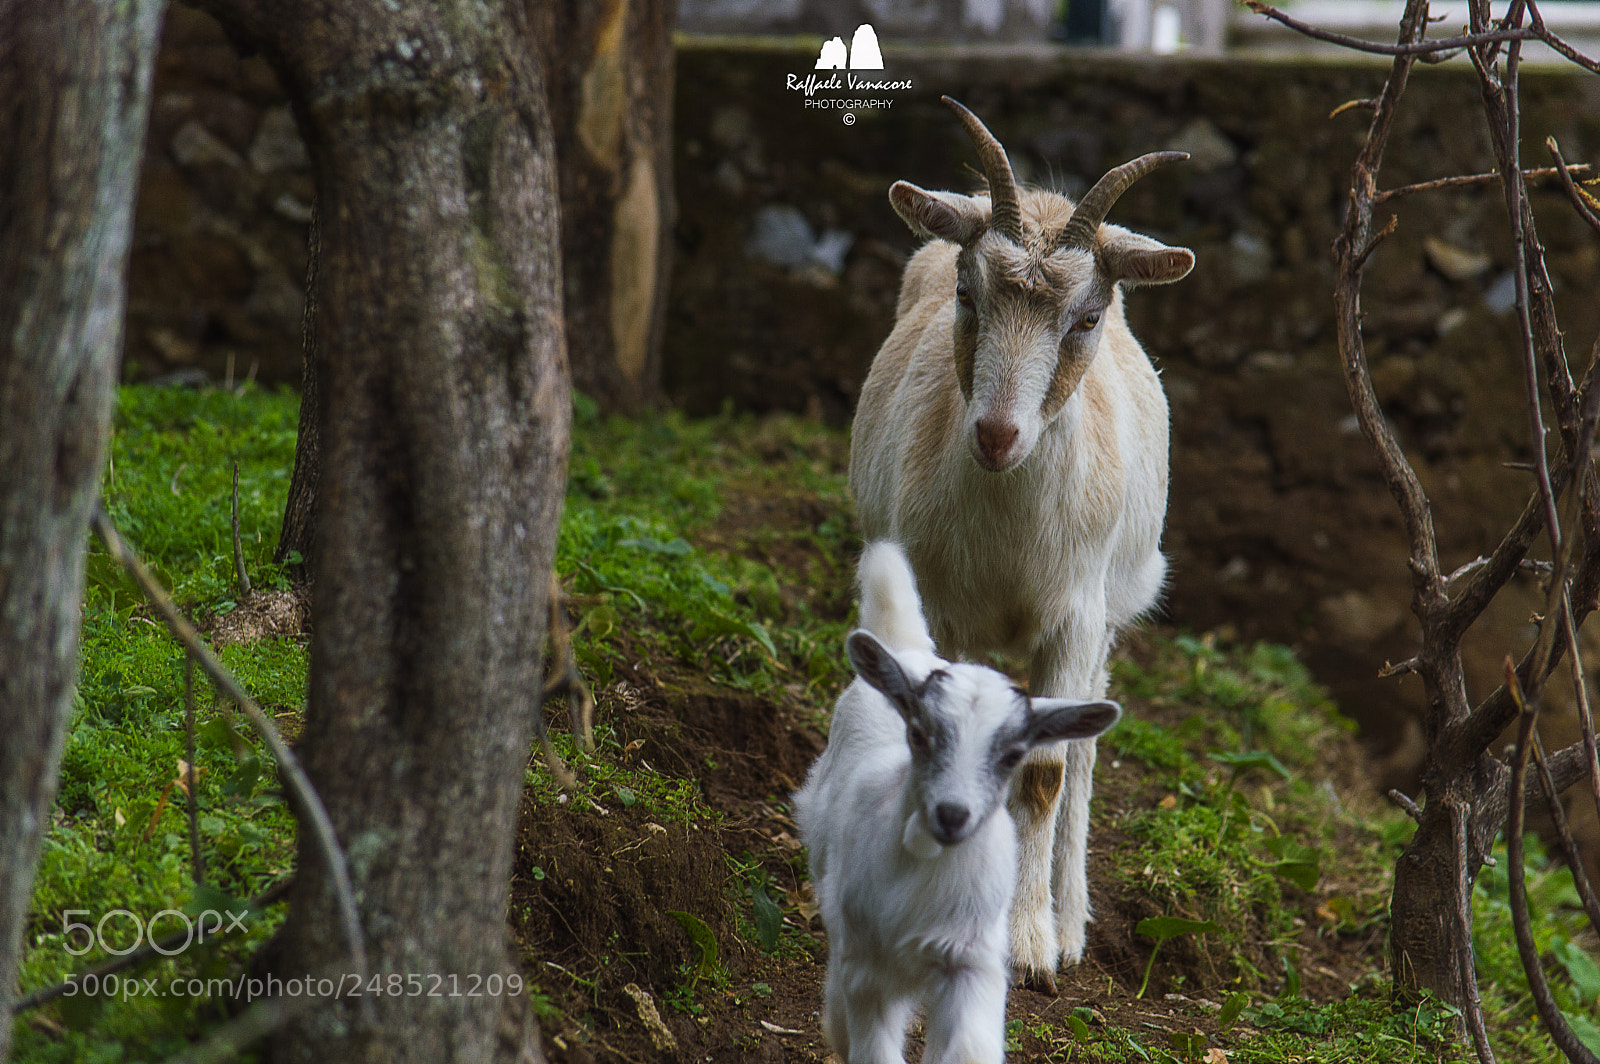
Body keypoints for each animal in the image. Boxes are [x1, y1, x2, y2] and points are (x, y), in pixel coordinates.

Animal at [794, 541, 1121, 1064]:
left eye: (1012, 755)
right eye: (918, 734)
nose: (952, 814)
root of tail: (908, 651)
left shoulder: (971, 961)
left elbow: (969, 1046)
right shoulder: (867, 965)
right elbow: (868, 1042)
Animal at [849, 97, 1192, 993]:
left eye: (1087, 318)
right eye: (967, 293)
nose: (997, 435)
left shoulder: (1075, 614)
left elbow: (1044, 774)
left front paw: (1032, 945)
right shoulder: (941, 605)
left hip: (1111, 610)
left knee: (1083, 755)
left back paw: (1070, 921)